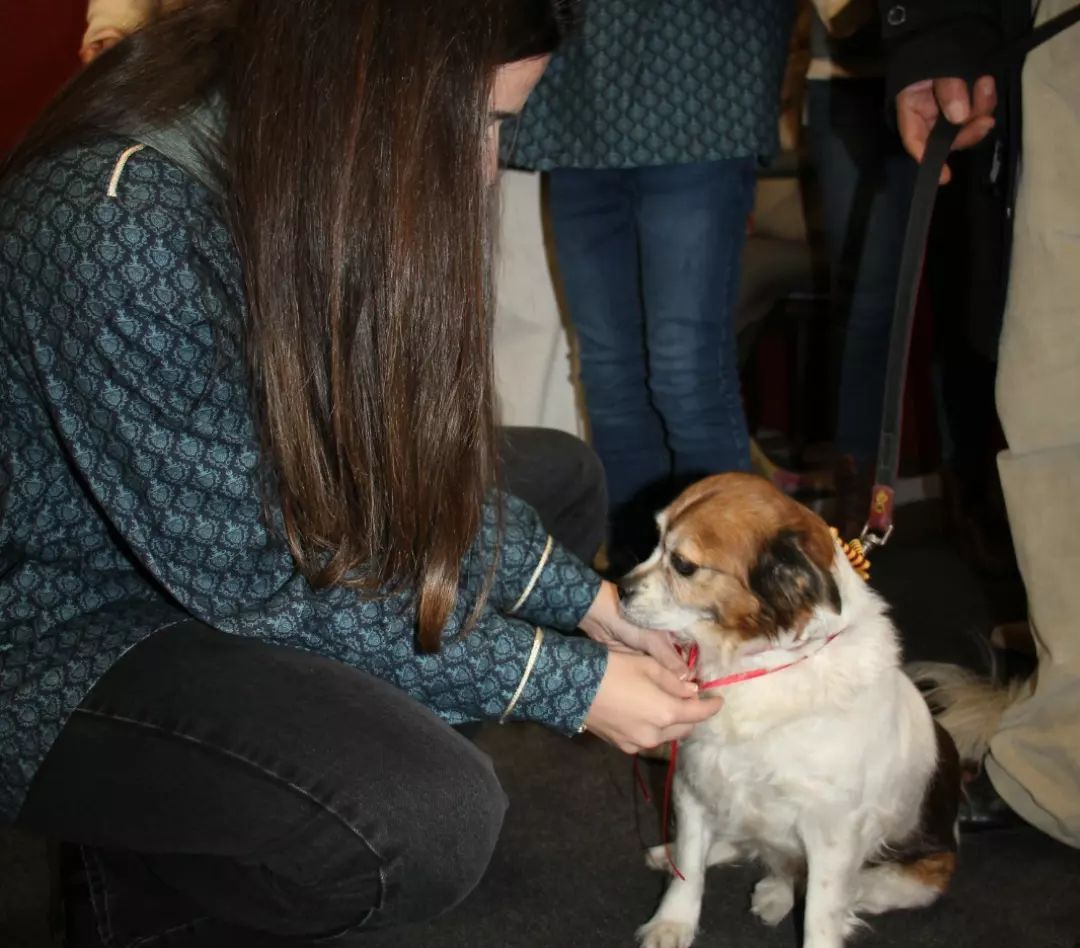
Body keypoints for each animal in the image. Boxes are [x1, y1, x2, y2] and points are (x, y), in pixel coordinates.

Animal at [622, 479, 967, 948]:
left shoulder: (832, 832)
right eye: (655, 539)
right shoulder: (693, 784)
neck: (757, 664)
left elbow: (820, 914)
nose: (620, 589)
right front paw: (672, 922)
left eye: (683, 565)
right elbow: (689, 867)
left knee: (854, 888)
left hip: (911, 876)